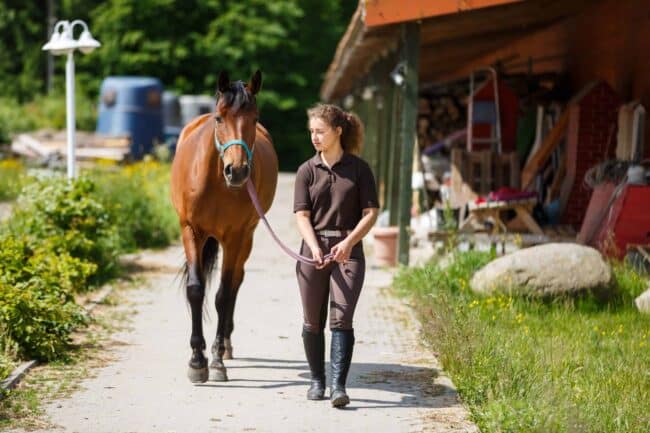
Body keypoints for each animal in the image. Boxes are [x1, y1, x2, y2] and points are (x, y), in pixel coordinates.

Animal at [170, 70, 276, 382]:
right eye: (219, 118)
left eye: (254, 118)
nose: (237, 171)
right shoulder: (191, 231)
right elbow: (196, 290)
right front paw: (197, 360)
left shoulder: (235, 237)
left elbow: (223, 295)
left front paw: (215, 360)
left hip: (247, 238)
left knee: (236, 282)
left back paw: (226, 345)